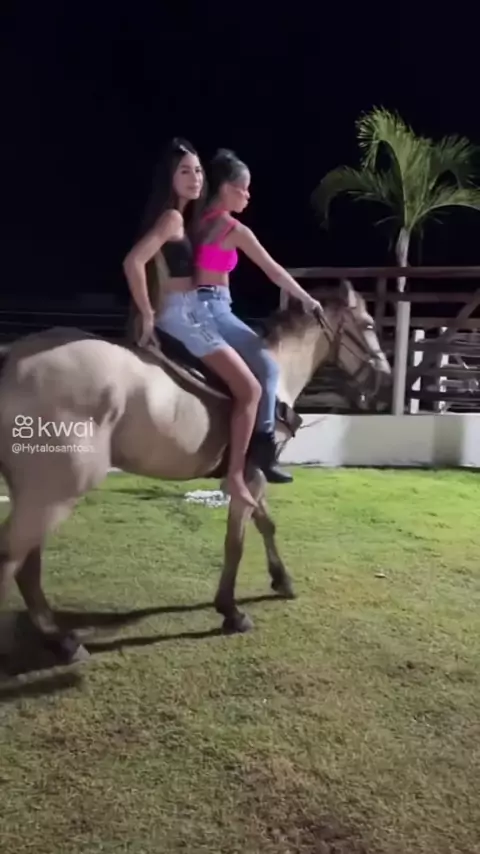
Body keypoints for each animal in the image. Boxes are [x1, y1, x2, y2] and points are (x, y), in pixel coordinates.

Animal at [0, 280, 391, 665]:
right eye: (369, 324)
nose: (383, 379)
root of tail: (12, 358)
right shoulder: (247, 476)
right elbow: (236, 543)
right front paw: (231, 611)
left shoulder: (253, 476)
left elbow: (266, 525)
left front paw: (282, 580)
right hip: (54, 494)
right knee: (15, 560)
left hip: (37, 494)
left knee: (26, 564)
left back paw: (58, 639)